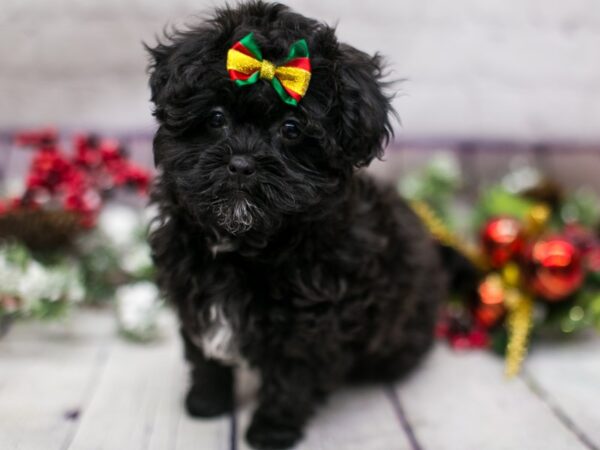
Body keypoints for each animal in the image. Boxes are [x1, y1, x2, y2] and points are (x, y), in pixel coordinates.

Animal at [146, 1, 446, 448]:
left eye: (291, 129)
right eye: (216, 118)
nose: (241, 163)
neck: (244, 244)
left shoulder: (310, 321)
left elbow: (291, 376)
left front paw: (271, 430)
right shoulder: (192, 293)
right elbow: (204, 355)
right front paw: (206, 403)